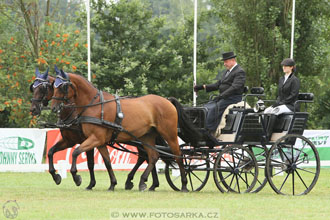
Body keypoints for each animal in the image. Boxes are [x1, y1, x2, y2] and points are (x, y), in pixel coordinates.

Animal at [51, 70, 199, 191]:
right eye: (53, 87)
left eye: (63, 87)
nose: (53, 108)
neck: (95, 106)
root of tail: (167, 100)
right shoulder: (99, 141)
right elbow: (107, 161)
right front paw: (112, 184)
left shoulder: (95, 139)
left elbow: (76, 152)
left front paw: (77, 178)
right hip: (147, 136)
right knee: (153, 156)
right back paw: (143, 182)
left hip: (170, 134)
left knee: (178, 156)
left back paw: (184, 184)